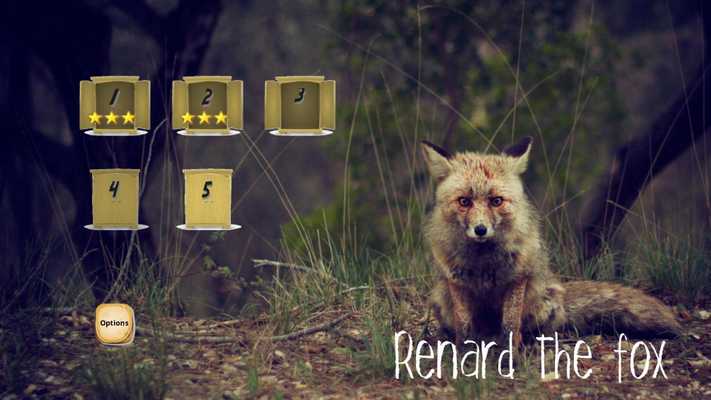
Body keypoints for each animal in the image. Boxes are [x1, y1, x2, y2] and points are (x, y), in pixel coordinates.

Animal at [421, 136, 681, 348]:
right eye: (464, 201)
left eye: (496, 201)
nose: (481, 229)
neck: (483, 263)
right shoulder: (456, 280)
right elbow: (464, 327)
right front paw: (464, 354)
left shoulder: (518, 277)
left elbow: (510, 326)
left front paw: (510, 358)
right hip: (440, 300)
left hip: (543, 307)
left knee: (534, 330)